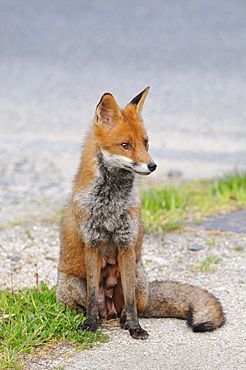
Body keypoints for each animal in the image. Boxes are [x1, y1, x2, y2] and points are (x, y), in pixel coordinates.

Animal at [57, 86, 225, 338]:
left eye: (146, 143)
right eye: (125, 145)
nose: (153, 166)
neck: (111, 203)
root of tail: (109, 311)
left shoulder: (127, 245)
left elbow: (130, 301)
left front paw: (135, 327)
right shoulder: (91, 243)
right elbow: (92, 298)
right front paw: (90, 324)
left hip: (138, 273)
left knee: (131, 307)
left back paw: (125, 321)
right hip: (71, 282)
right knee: (90, 305)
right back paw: (97, 319)